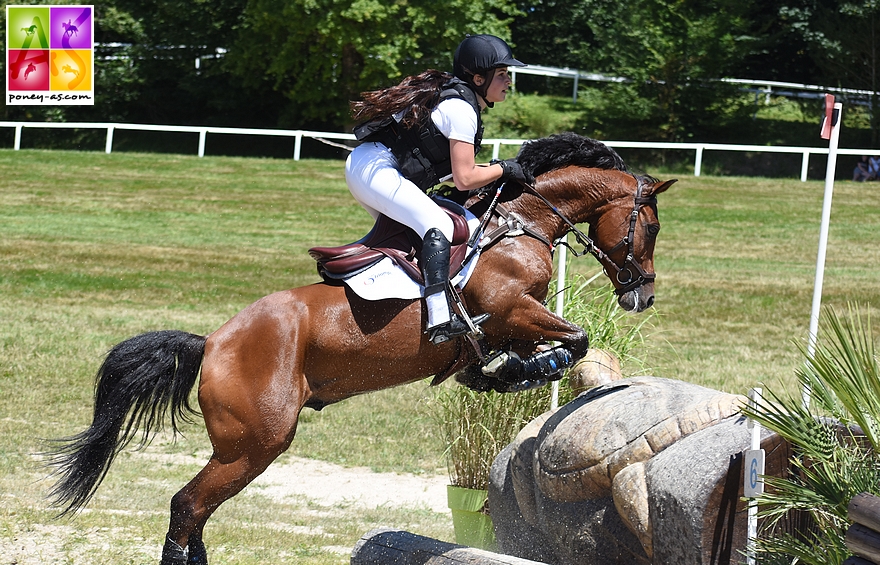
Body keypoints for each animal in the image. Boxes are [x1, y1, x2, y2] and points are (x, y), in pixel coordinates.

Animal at [46, 132, 672, 564]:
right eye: (652, 227)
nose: (642, 295)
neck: (520, 225)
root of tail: (214, 342)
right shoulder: (511, 308)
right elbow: (574, 338)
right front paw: (528, 369)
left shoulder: (513, 321)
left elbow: (542, 344)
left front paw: (497, 371)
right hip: (254, 444)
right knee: (187, 507)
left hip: (246, 446)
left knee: (192, 513)